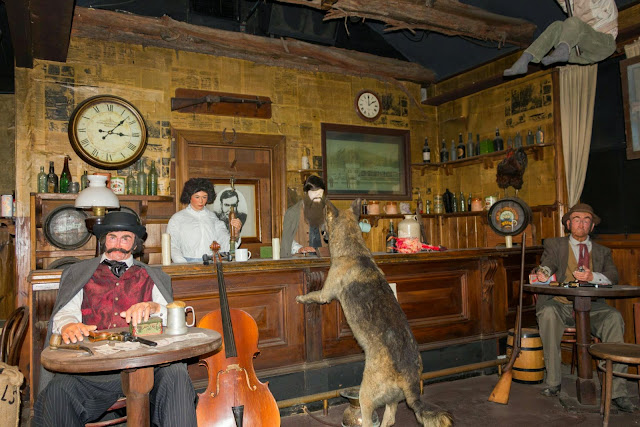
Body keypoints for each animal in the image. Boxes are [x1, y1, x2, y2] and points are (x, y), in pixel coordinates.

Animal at [296, 200, 453, 427]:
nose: (321, 231)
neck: (354, 249)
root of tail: (410, 381)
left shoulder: (324, 293)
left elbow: (312, 294)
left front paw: (301, 297)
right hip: (391, 400)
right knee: (389, 419)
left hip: (366, 395)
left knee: (369, 420)